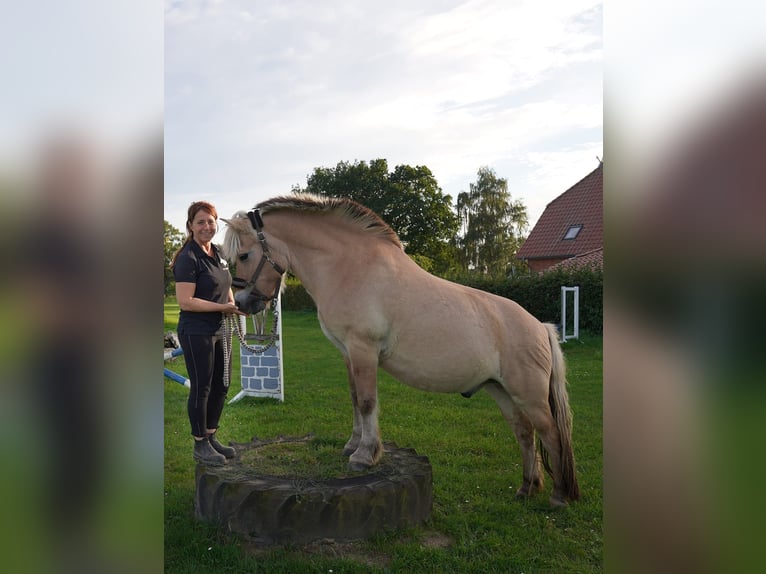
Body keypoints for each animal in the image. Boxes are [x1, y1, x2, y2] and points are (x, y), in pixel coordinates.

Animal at [222, 195, 584, 508]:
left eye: (244, 255)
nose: (241, 303)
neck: (349, 266)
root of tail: (541, 327)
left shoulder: (363, 349)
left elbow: (367, 402)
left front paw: (365, 455)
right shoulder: (348, 353)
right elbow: (355, 398)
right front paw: (352, 445)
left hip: (529, 394)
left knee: (551, 433)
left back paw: (558, 496)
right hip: (501, 390)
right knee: (525, 432)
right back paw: (527, 487)